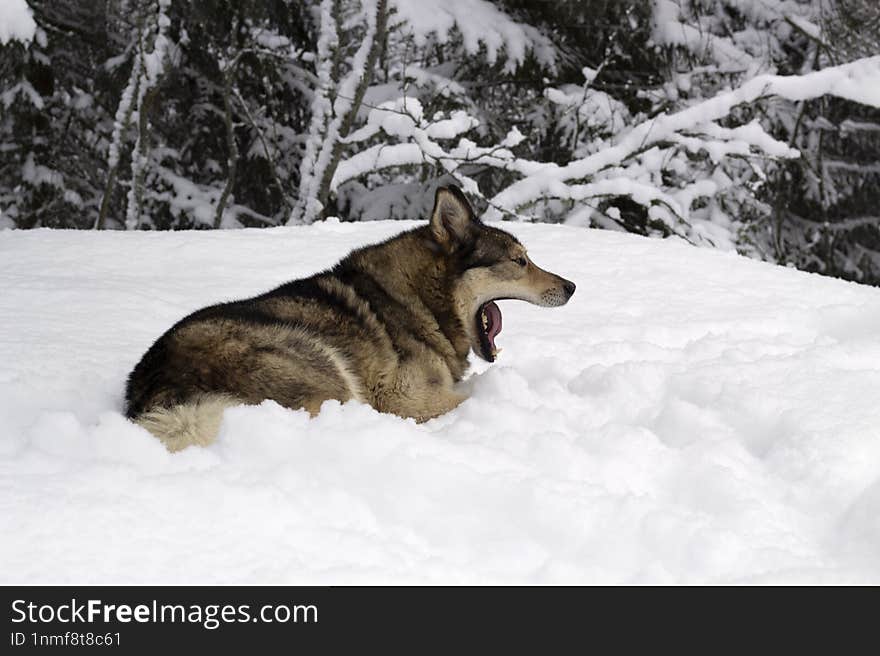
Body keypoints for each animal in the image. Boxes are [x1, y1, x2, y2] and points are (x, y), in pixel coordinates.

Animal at [125, 186, 576, 452]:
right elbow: (475, 394)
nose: (572, 286)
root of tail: (160, 390)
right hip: (328, 370)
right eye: (520, 261)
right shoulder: (404, 400)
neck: (422, 303)